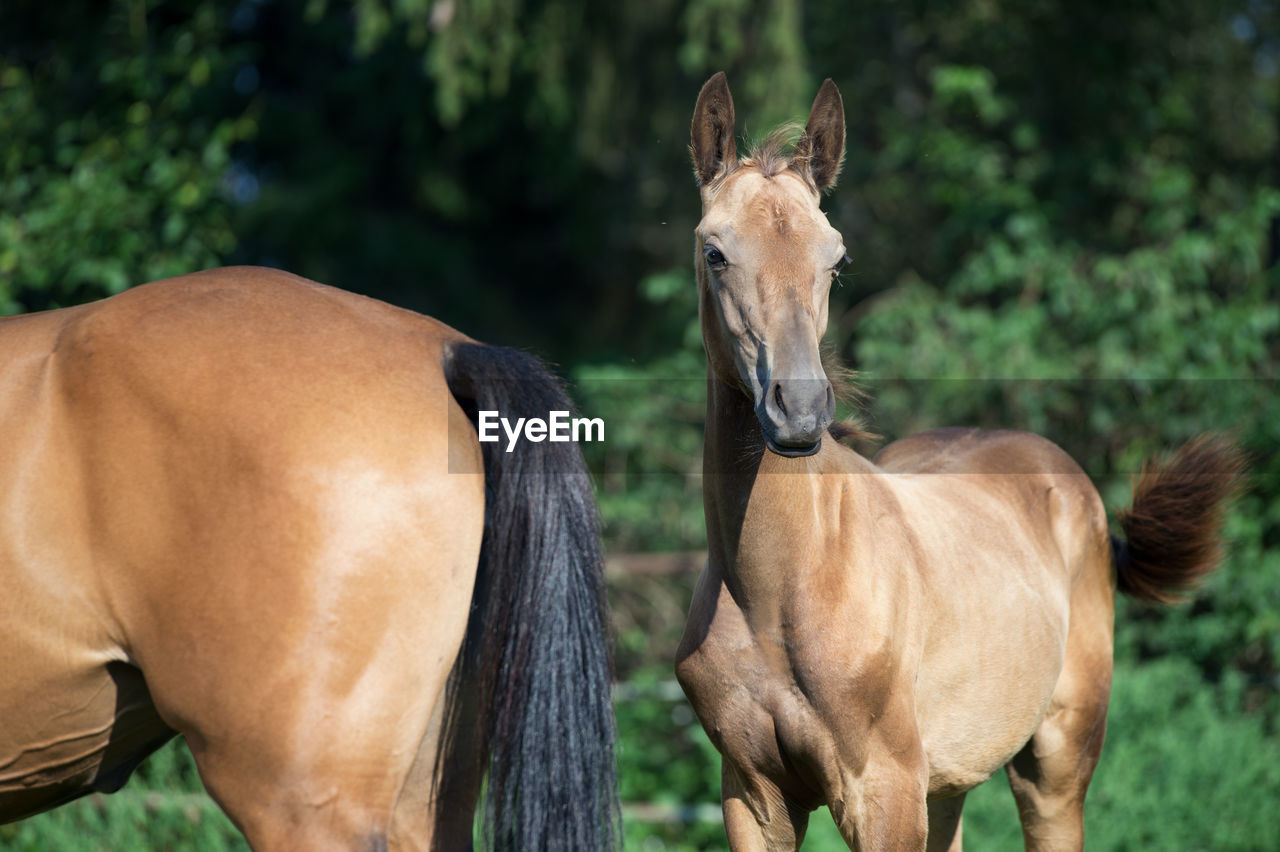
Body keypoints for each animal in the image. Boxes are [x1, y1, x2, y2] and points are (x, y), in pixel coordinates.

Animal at [675, 72, 1244, 849]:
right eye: (715, 253)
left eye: (836, 259)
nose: (800, 410)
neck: (782, 590)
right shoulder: (752, 797)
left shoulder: (883, 792)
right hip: (947, 784)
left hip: (1055, 768)